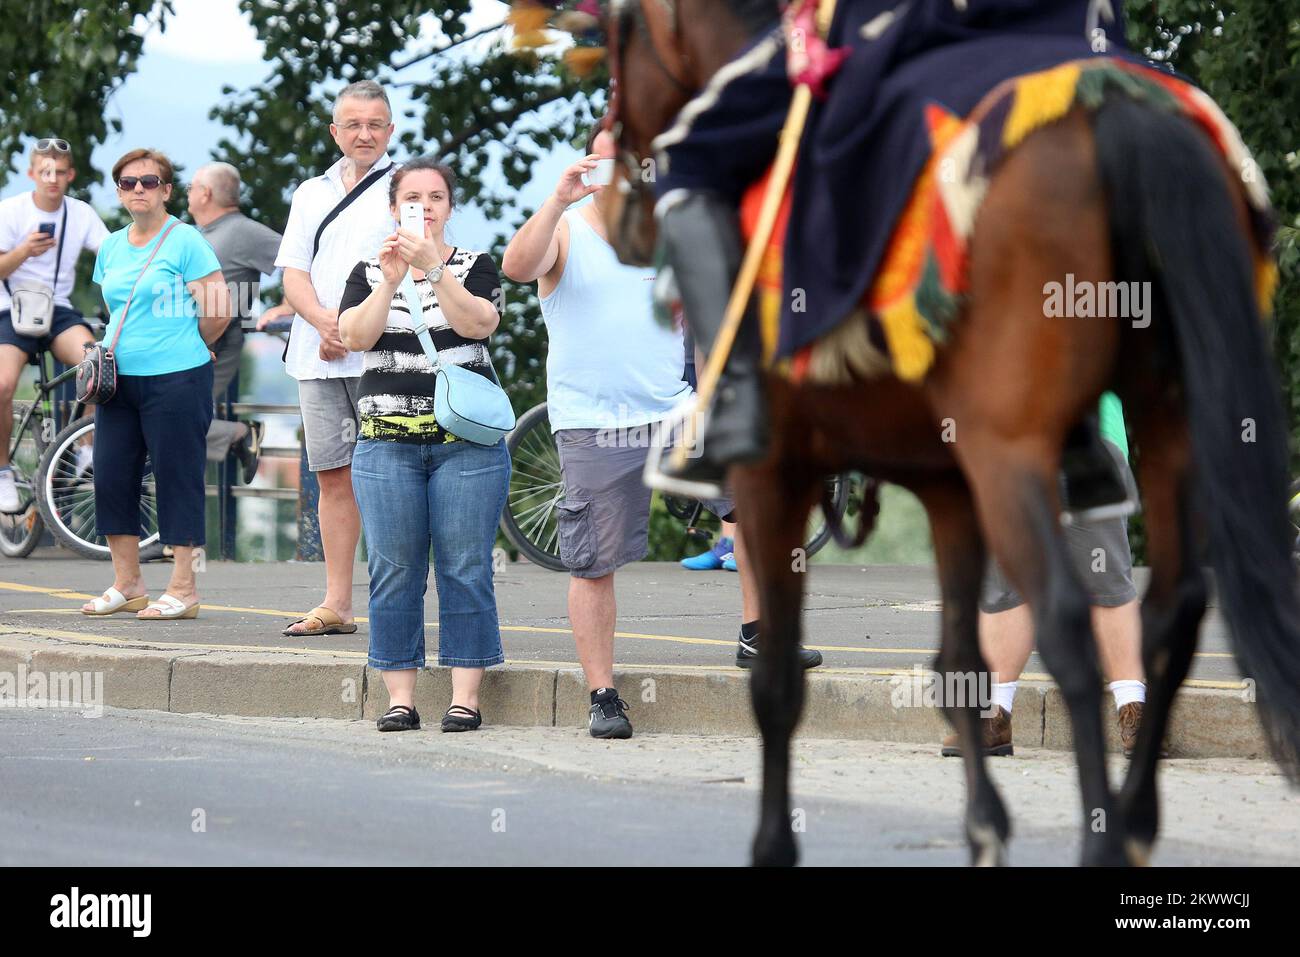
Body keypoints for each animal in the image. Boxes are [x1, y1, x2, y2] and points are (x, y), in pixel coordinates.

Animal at [595, 0, 1300, 868]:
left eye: (618, 38)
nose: (618, 208)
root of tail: (1120, 112)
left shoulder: (774, 477)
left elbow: (778, 682)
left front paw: (773, 843)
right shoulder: (947, 486)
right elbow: (960, 659)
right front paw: (985, 829)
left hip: (1011, 452)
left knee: (1069, 622)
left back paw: (1102, 837)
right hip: (1167, 427)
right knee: (1172, 611)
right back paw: (1134, 821)